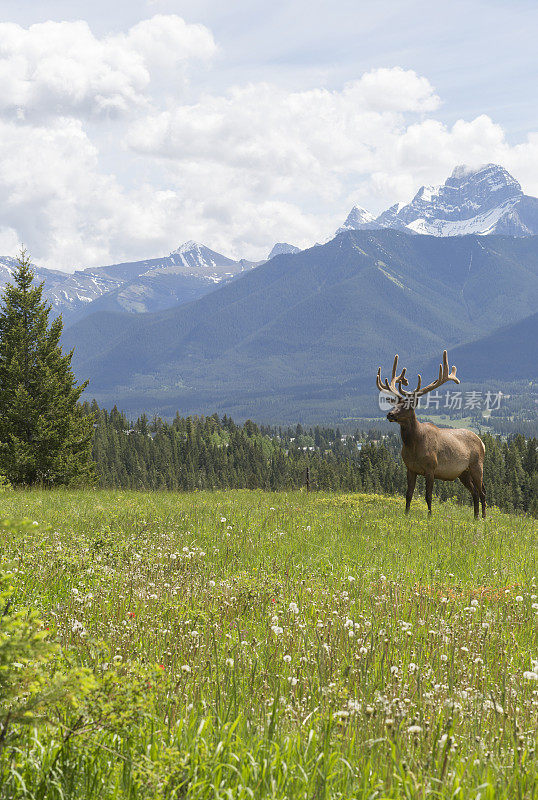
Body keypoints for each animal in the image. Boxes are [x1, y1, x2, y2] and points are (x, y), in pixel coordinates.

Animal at [374, 352, 484, 520]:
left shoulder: (431, 467)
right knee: (475, 493)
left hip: (477, 465)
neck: (414, 446)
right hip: (463, 473)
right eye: (395, 404)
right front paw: (406, 514)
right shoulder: (410, 468)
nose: (390, 414)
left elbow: (428, 495)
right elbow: (408, 494)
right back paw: (476, 517)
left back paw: (484, 517)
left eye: (407, 406)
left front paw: (430, 516)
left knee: (483, 491)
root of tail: (482, 442)